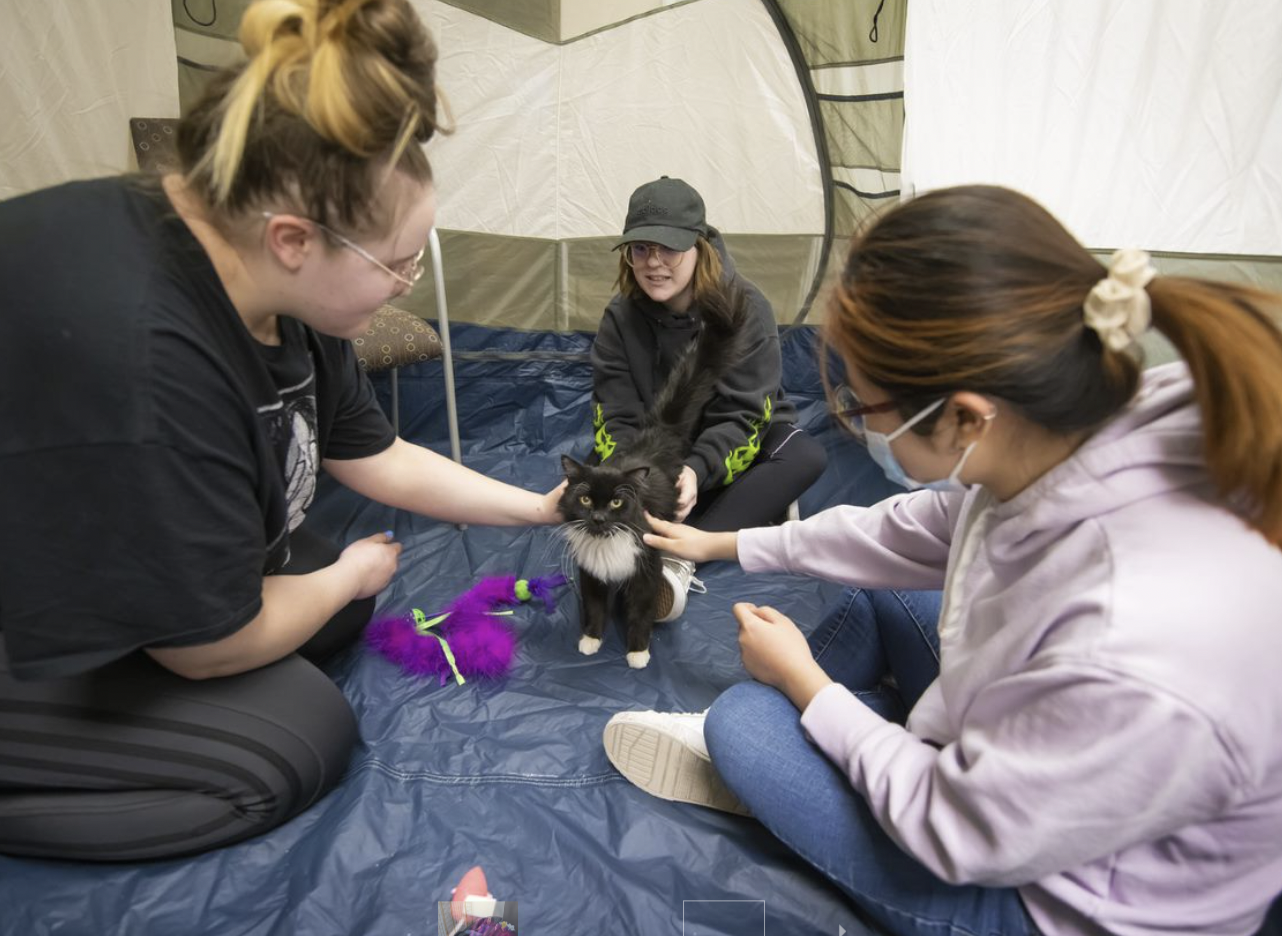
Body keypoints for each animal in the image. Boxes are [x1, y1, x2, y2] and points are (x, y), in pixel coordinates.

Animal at [556, 284, 748, 661]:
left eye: (617, 503)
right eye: (585, 500)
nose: (598, 518)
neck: (608, 542)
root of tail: (658, 433)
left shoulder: (646, 569)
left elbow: (640, 612)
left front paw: (637, 653)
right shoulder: (591, 574)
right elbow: (595, 607)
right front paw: (590, 641)